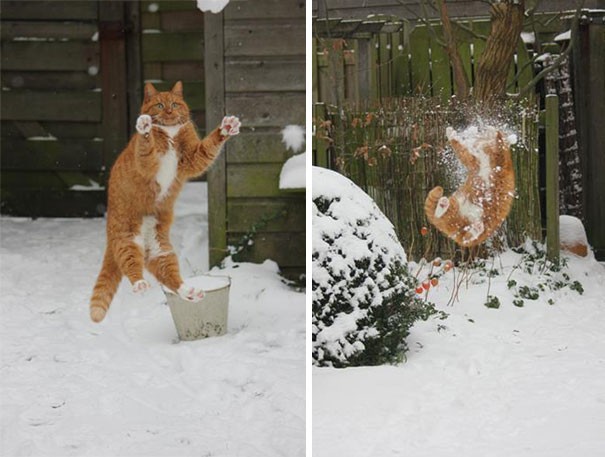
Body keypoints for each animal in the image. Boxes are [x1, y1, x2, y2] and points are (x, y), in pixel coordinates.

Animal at [89, 83, 241, 324]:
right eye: (160, 105)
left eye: (175, 104)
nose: (169, 111)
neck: (170, 133)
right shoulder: (147, 163)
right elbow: (145, 147)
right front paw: (145, 128)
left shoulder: (193, 158)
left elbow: (208, 147)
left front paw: (226, 128)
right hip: (127, 239)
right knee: (130, 265)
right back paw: (140, 283)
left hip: (161, 251)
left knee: (169, 277)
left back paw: (189, 291)